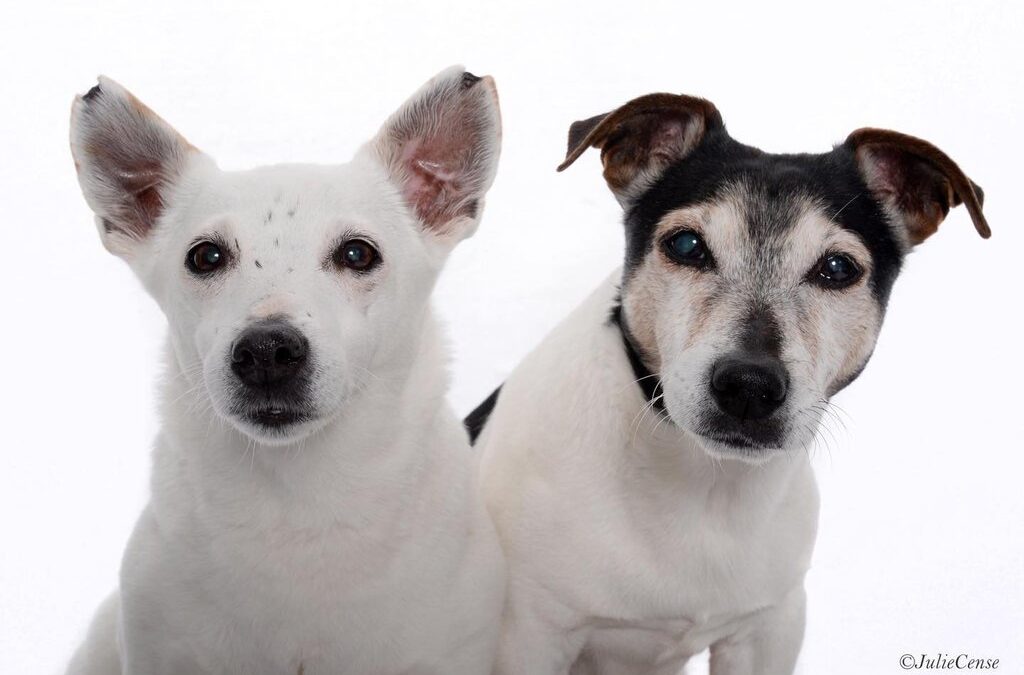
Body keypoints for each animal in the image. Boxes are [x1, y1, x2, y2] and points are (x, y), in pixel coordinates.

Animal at [468, 92, 987, 671]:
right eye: (687, 245)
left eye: (837, 268)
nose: (749, 386)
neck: (705, 484)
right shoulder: (529, 633)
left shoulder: (769, 629)